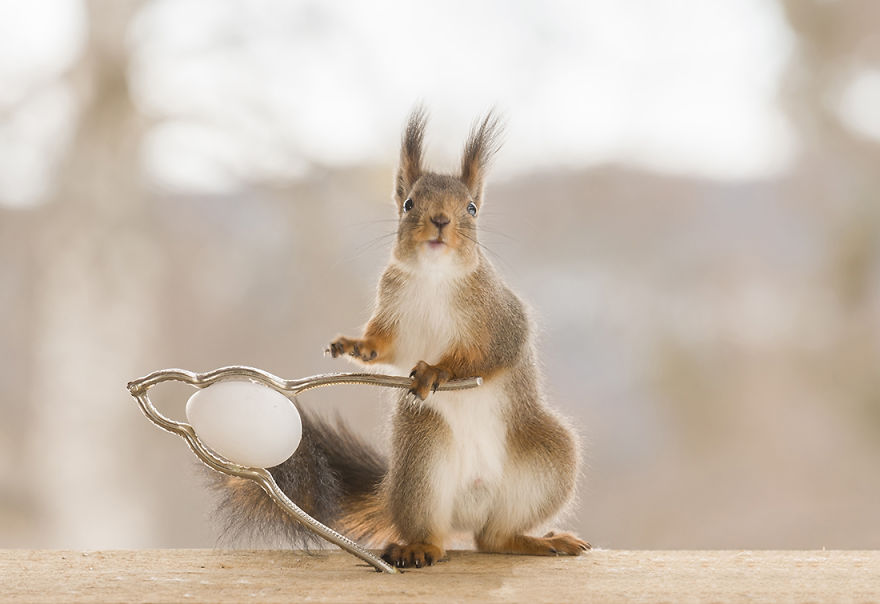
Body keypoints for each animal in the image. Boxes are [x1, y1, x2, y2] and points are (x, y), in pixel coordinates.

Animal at [213, 108, 588, 568]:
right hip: (420, 460)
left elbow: (489, 354)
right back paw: (419, 547)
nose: (440, 221)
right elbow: (384, 348)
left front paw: (438, 370)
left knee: (494, 537)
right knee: (447, 532)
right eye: (409, 203)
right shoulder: (395, 317)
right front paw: (353, 346)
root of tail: (470, 505)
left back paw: (535, 540)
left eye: (471, 208)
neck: (433, 277)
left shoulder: (501, 319)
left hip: (548, 458)